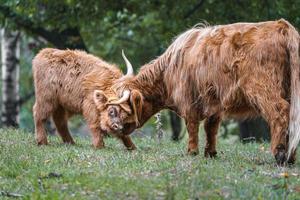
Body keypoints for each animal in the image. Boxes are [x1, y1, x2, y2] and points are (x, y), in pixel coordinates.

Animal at [113, 19, 300, 165]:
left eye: (123, 107)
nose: (117, 127)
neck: (168, 72)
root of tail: (281, 25)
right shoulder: (214, 103)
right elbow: (211, 127)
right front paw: (210, 153)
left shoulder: (188, 100)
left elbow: (192, 126)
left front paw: (192, 152)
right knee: (292, 116)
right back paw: (290, 157)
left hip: (261, 87)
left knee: (280, 112)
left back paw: (280, 154)